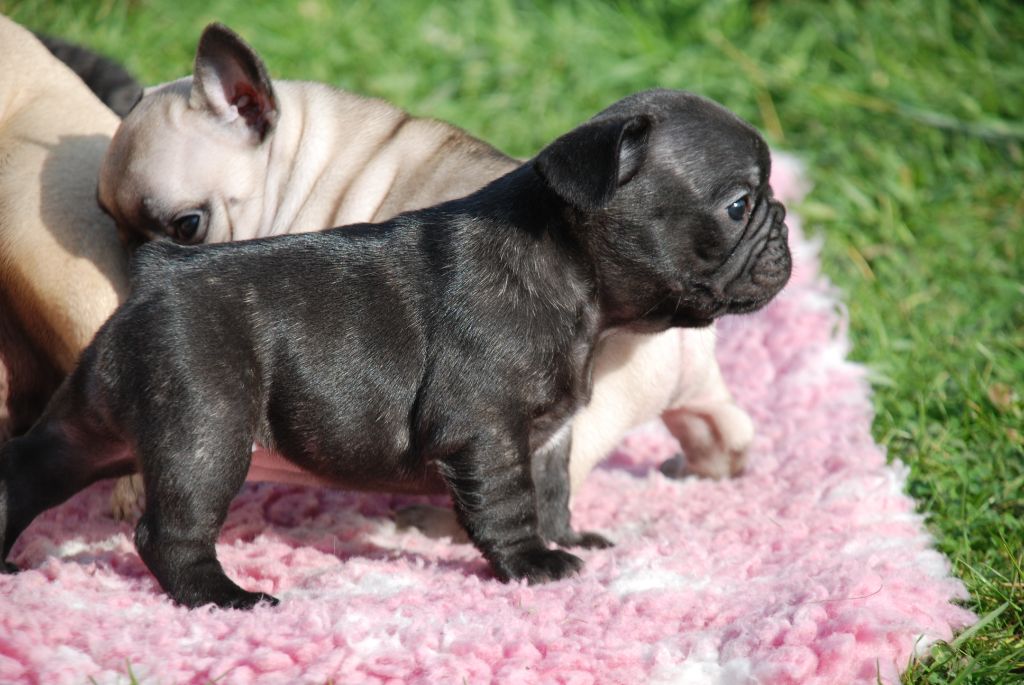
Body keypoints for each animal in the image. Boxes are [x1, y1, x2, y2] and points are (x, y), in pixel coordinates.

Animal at [1, 87, 791, 609]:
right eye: (739, 204)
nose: (784, 221)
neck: (569, 270)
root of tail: (155, 277)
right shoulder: (485, 430)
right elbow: (510, 505)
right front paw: (534, 565)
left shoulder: (548, 435)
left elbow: (552, 488)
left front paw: (571, 538)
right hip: (205, 432)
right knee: (168, 529)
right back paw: (226, 597)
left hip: (89, 425)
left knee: (27, 472)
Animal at [99, 24, 760, 532]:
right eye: (106, 220)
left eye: (188, 225)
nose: (135, 263)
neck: (296, 165)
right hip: (699, 398)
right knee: (727, 432)